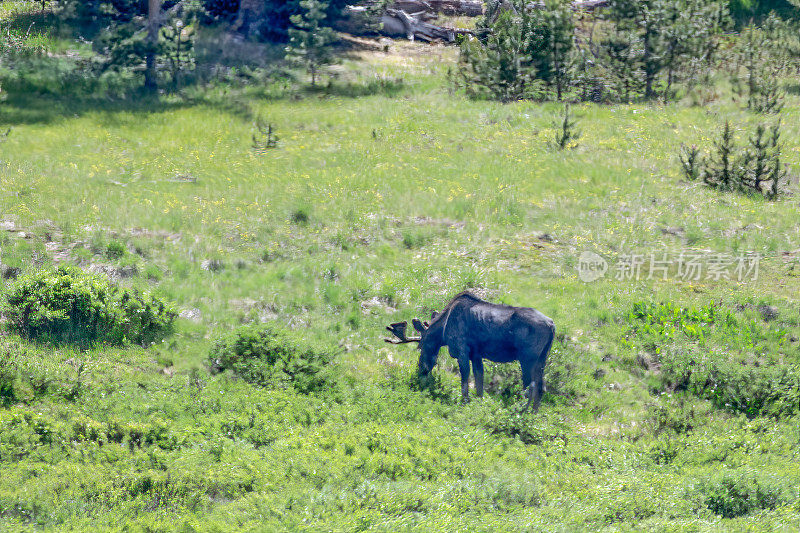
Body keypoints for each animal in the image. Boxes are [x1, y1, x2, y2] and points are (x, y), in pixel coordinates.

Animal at [384, 290, 552, 412]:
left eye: (421, 346)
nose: (421, 371)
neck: (443, 331)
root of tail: (552, 325)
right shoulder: (476, 354)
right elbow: (479, 383)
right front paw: (478, 405)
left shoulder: (462, 351)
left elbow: (465, 381)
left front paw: (464, 403)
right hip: (542, 359)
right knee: (541, 387)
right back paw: (533, 415)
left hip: (527, 358)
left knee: (529, 387)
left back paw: (520, 413)